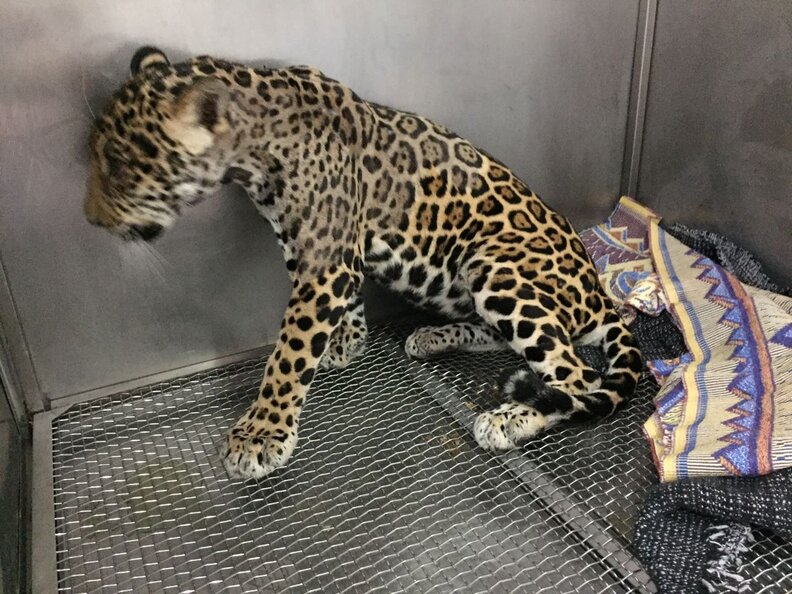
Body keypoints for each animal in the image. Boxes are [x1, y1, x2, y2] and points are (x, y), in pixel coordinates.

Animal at [84, 47, 642, 480]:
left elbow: (288, 354)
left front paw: (260, 434)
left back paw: (510, 419)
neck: (256, 146)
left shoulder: (323, 264)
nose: (90, 220)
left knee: (577, 378)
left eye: (119, 168)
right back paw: (433, 337)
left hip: (498, 266)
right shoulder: (325, 256)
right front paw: (347, 341)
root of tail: (601, 296)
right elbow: (345, 306)